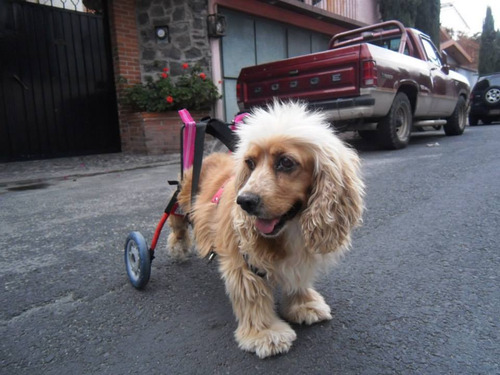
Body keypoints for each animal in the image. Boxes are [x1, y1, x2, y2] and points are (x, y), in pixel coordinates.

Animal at [167, 100, 364, 358]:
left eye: (286, 162)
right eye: (250, 163)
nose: (244, 201)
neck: (289, 229)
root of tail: (209, 156)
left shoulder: (300, 257)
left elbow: (298, 280)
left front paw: (304, 305)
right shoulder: (244, 261)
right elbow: (253, 298)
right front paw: (265, 334)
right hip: (180, 199)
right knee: (177, 222)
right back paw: (177, 247)